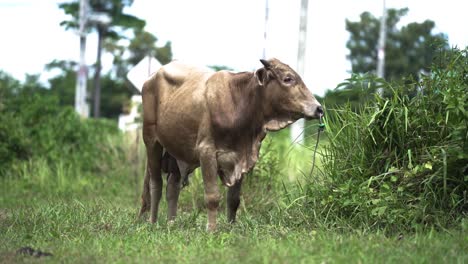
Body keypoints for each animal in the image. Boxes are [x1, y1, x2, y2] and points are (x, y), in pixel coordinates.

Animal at [139, 58, 322, 231]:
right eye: (287, 78)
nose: (318, 108)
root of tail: (152, 76)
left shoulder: (241, 158)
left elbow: (234, 200)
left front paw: (231, 226)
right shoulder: (206, 152)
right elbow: (212, 197)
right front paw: (212, 229)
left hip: (176, 151)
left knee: (172, 187)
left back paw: (171, 223)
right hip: (151, 140)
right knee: (156, 184)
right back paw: (153, 222)